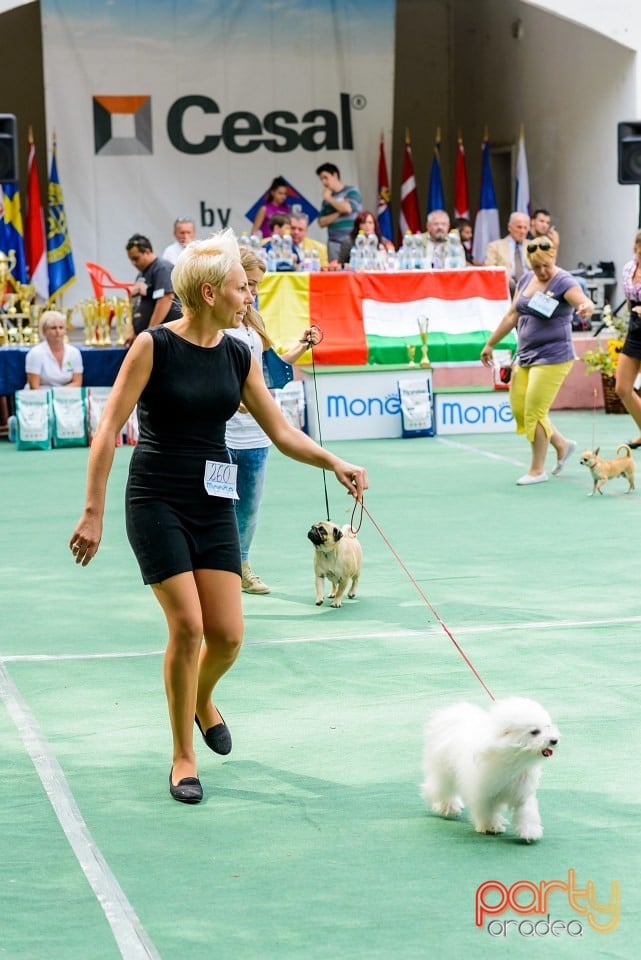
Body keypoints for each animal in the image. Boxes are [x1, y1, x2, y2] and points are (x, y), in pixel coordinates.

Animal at [420, 696, 556, 840]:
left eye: (548, 727)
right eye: (534, 732)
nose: (554, 740)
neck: (512, 757)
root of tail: (452, 713)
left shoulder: (522, 791)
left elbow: (526, 811)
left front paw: (530, 831)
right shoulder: (484, 792)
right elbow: (486, 810)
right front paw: (490, 827)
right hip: (443, 770)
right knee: (439, 789)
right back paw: (449, 808)